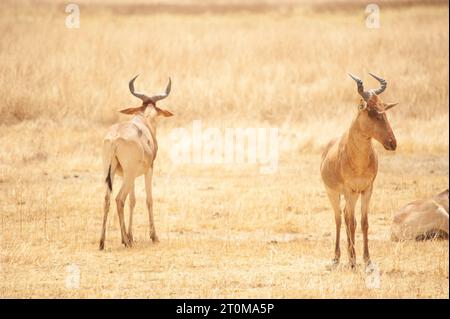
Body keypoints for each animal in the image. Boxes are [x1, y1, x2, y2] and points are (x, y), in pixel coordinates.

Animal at [99, 75, 173, 250]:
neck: (143, 120)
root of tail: (115, 138)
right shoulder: (148, 170)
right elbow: (148, 199)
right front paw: (153, 237)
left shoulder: (130, 176)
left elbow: (133, 201)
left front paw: (131, 236)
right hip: (128, 174)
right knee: (119, 199)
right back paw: (125, 241)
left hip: (111, 172)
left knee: (107, 199)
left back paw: (102, 242)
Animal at [320, 74, 398, 268]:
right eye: (371, 111)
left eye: (384, 109)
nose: (392, 143)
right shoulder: (348, 190)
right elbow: (351, 222)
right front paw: (353, 261)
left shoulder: (367, 189)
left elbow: (363, 223)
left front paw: (367, 260)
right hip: (333, 193)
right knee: (340, 218)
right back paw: (338, 257)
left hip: (354, 195)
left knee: (349, 217)